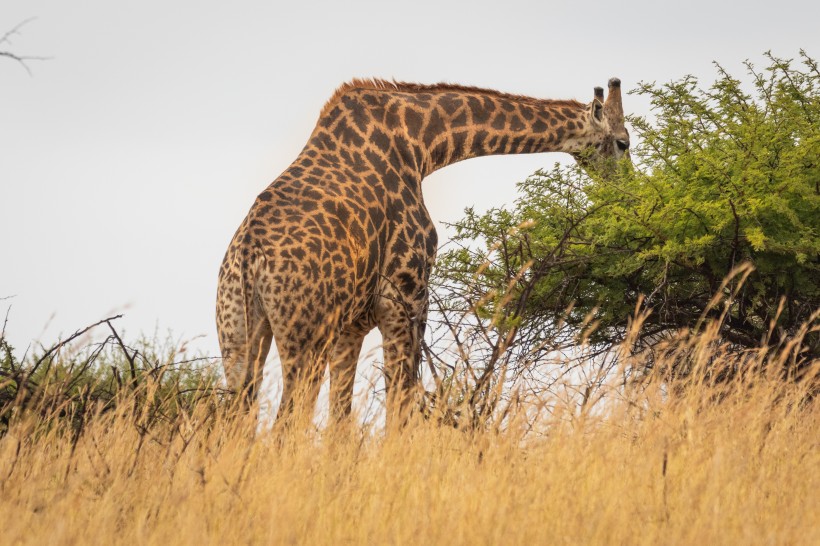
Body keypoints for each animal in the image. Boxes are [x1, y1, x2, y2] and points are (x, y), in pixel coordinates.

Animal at [216, 77, 628, 420]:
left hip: (237, 336)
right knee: (286, 423)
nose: (629, 186)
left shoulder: (353, 323)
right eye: (624, 142)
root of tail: (248, 259)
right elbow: (400, 405)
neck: (421, 144)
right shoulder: (405, 298)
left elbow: (341, 423)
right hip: (306, 338)